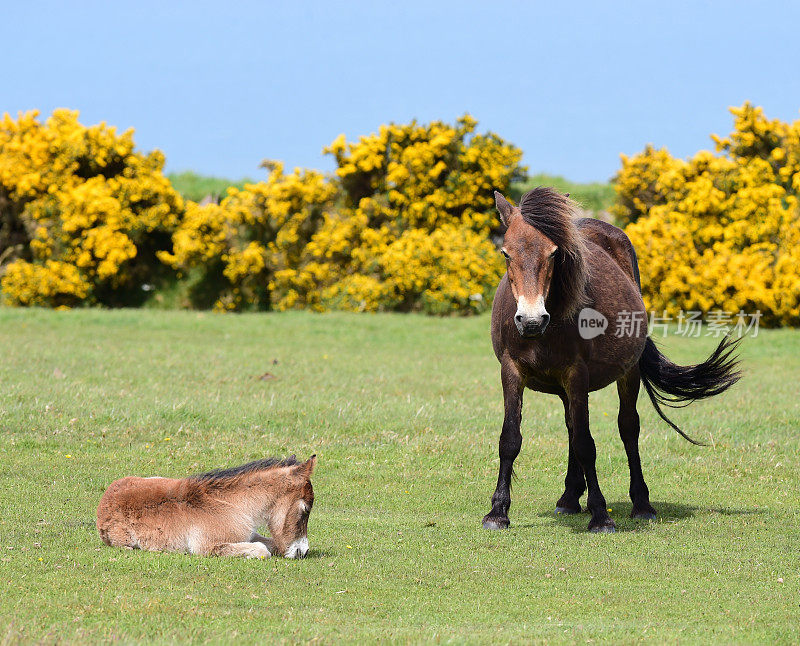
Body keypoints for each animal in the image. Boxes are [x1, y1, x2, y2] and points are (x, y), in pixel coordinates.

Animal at [97, 458, 316, 560]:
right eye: (306, 508)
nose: (303, 551)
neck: (232, 504)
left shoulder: (247, 534)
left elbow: (272, 544)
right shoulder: (206, 547)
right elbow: (262, 550)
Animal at [482, 190, 736, 536]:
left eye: (553, 254)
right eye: (506, 253)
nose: (532, 320)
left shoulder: (576, 374)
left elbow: (587, 444)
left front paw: (600, 515)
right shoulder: (512, 371)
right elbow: (510, 439)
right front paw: (498, 512)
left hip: (628, 373)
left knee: (628, 428)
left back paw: (641, 505)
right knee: (572, 427)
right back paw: (569, 498)